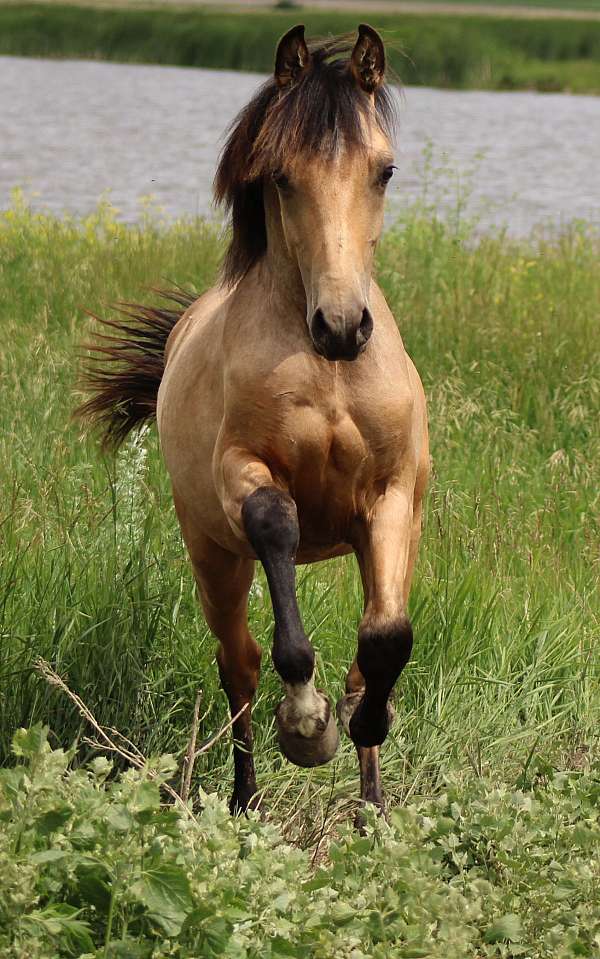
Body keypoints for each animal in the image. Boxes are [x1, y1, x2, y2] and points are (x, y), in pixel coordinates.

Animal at [79, 24, 429, 817]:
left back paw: (371, 808)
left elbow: (385, 639)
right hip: (213, 554)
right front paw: (306, 724)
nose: (342, 326)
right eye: (282, 176)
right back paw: (246, 802)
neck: (328, 375)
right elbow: (279, 555)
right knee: (236, 666)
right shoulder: (246, 479)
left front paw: (364, 723)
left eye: (385, 170)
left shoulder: (391, 499)